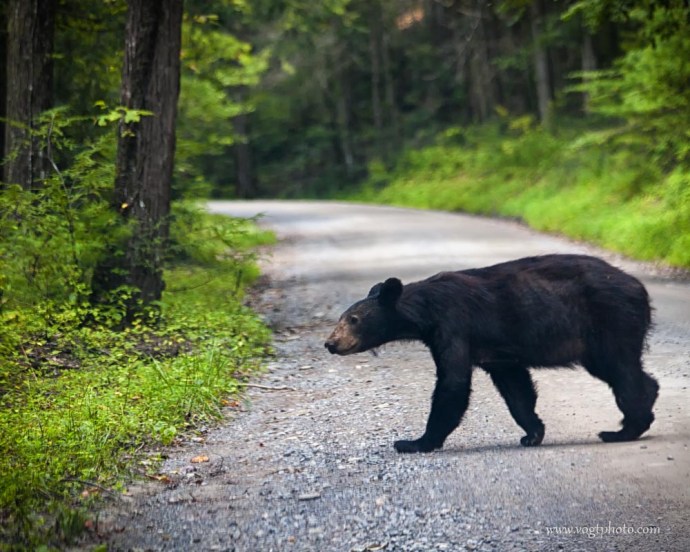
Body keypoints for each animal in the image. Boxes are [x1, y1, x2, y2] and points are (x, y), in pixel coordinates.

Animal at [324, 254, 659, 453]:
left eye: (353, 319)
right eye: (341, 318)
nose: (330, 343)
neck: (425, 312)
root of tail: (640, 287)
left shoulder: (454, 326)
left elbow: (453, 384)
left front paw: (416, 441)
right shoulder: (496, 352)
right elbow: (516, 388)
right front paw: (532, 432)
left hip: (612, 320)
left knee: (622, 371)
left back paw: (625, 428)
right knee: (625, 372)